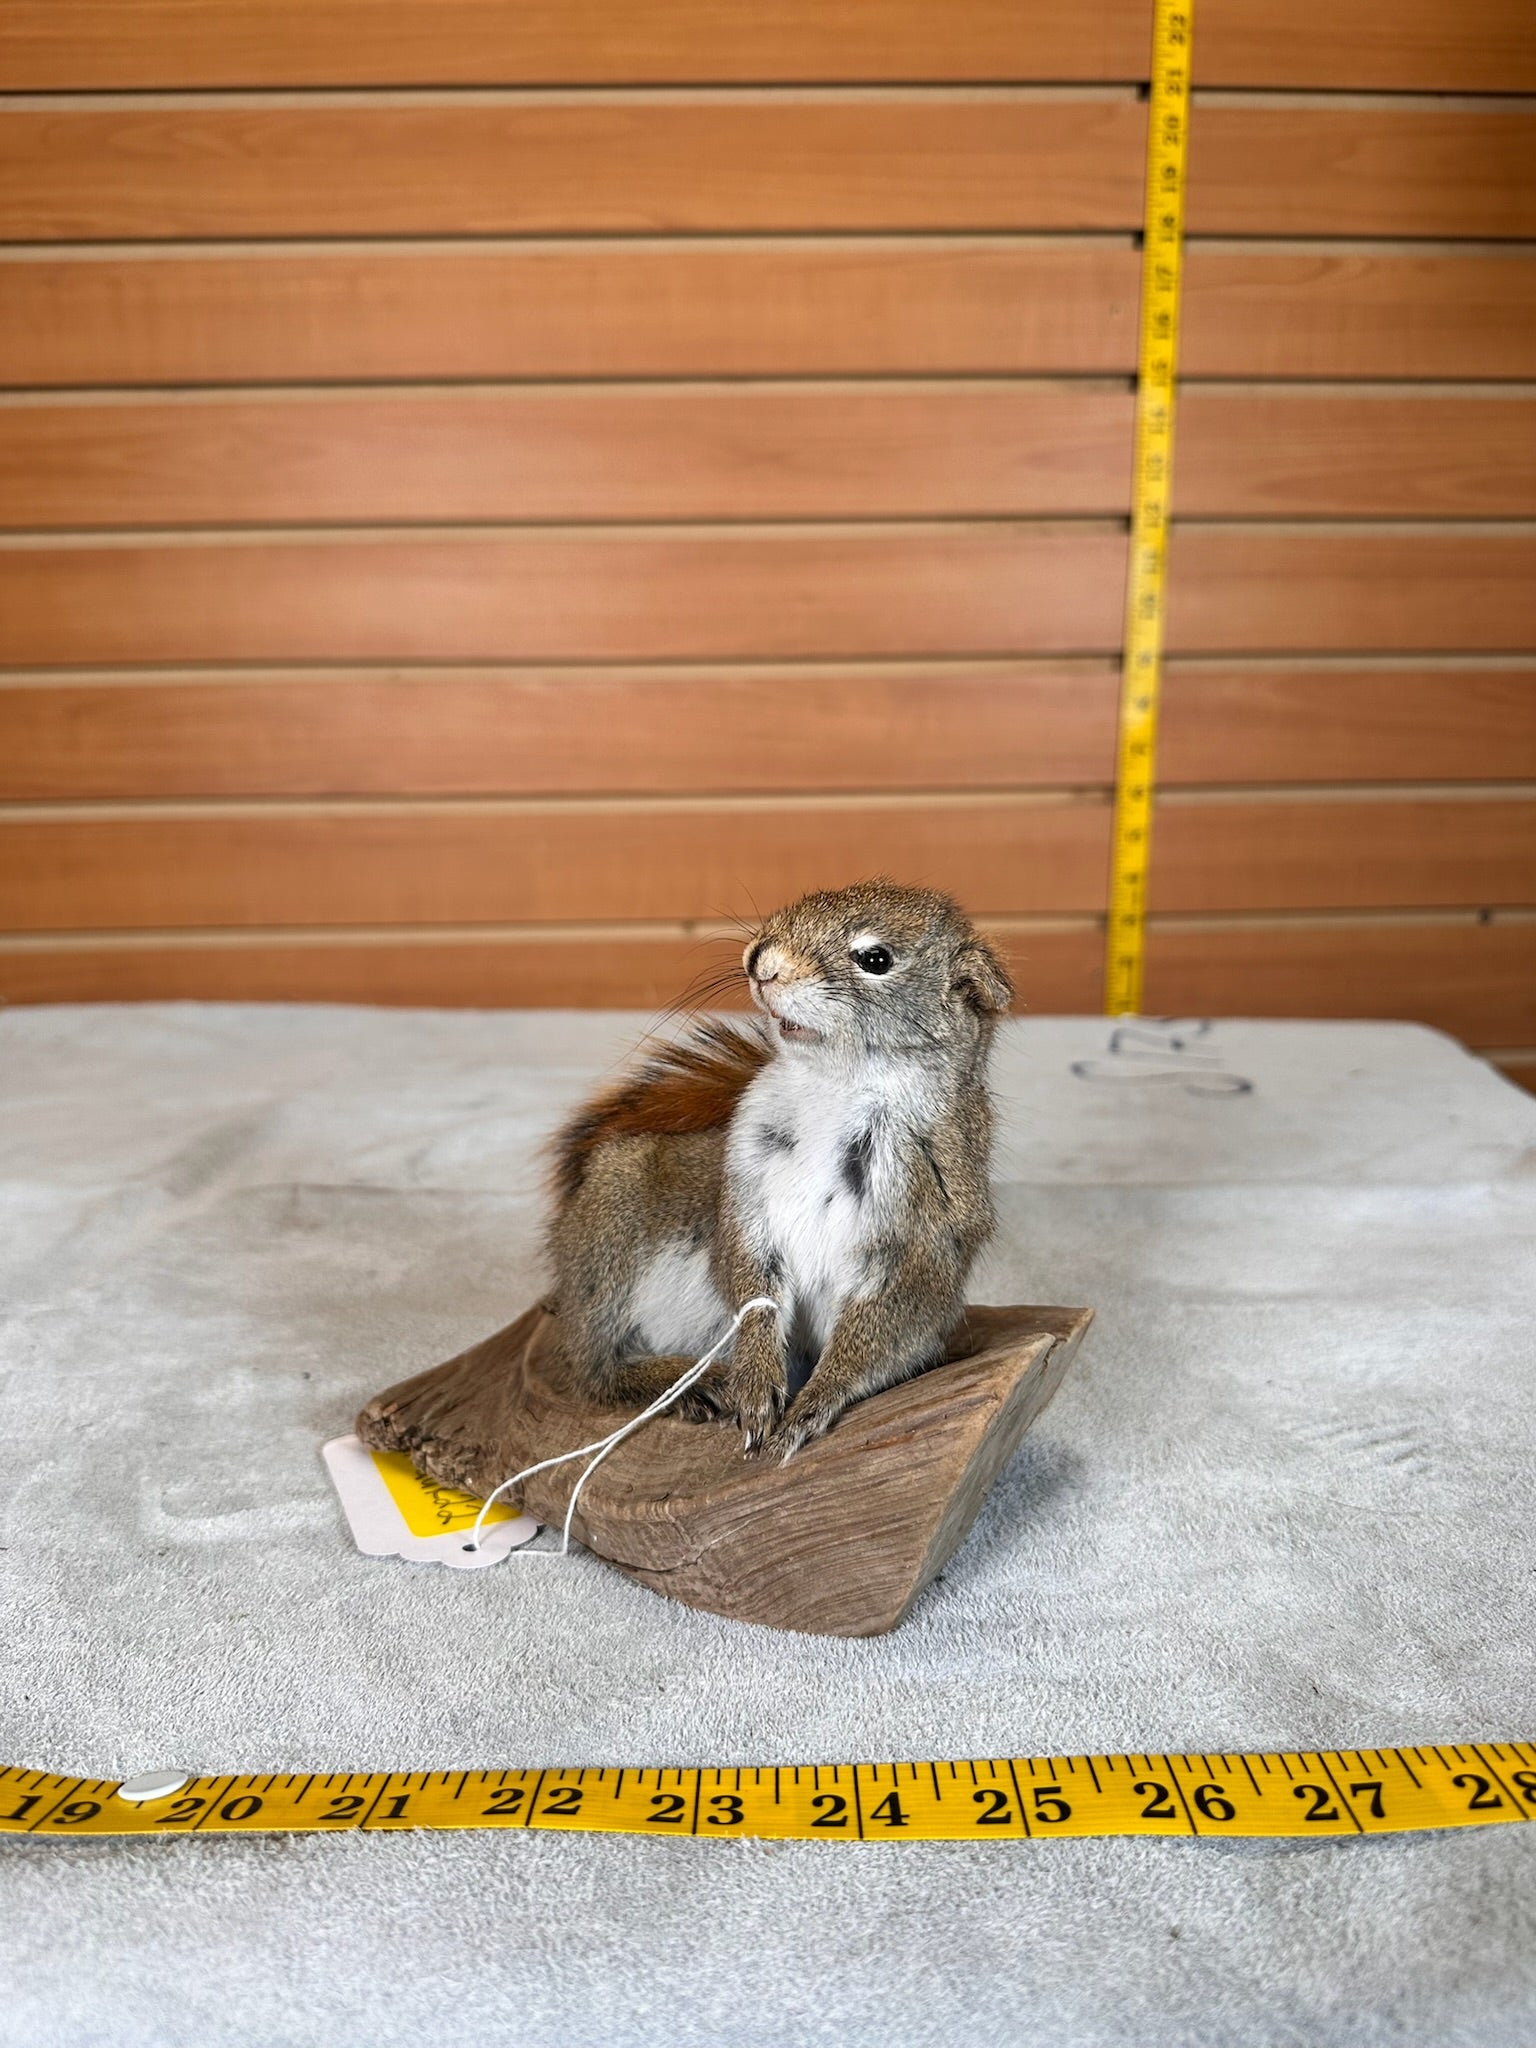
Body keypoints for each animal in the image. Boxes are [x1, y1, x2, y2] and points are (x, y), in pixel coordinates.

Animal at [547, 879, 1012, 1462]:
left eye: (876, 959)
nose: (760, 961)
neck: (834, 1085)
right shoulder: (746, 1186)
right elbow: (750, 1280)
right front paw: (754, 1378)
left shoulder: (923, 1236)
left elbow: (880, 1333)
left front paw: (814, 1402)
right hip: (613, 1228)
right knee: (594, 1366)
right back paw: (692, 1381)